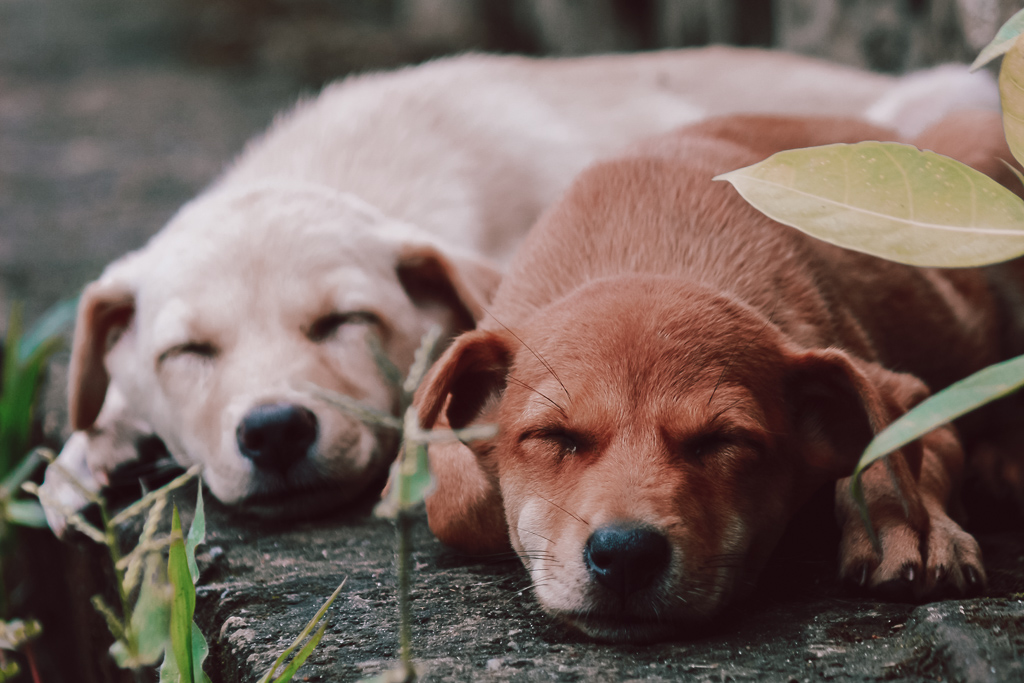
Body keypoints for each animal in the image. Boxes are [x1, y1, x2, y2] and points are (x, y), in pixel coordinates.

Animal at [413, 112, 1024, 643]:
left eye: (722, 441)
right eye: (553, 437)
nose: (626, 556)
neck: (648, 249)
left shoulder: (911, 393)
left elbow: (898, 451)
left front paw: (914, 527)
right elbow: (460, 500)